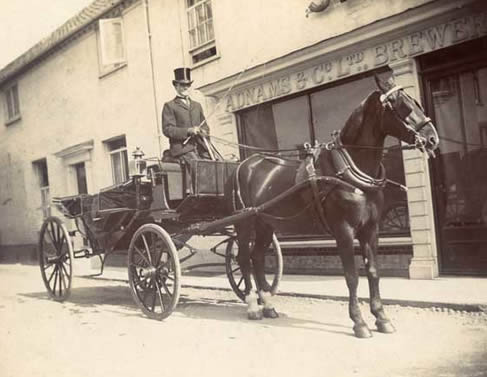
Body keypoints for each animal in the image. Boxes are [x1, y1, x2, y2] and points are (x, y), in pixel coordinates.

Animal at [225, 74, 442, 338]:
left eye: (415, 102)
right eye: (401, 105)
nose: (432, 138)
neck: (349, 170)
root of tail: (243, 165)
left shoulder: (371, 229)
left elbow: (373, 272)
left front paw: (381, 317)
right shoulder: (344, 230)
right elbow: (352, 276)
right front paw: (359, 322)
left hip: (266, 224)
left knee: (256, 257)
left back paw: (268, 305)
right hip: (244, 222)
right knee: (243, 258)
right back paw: (253, 306)